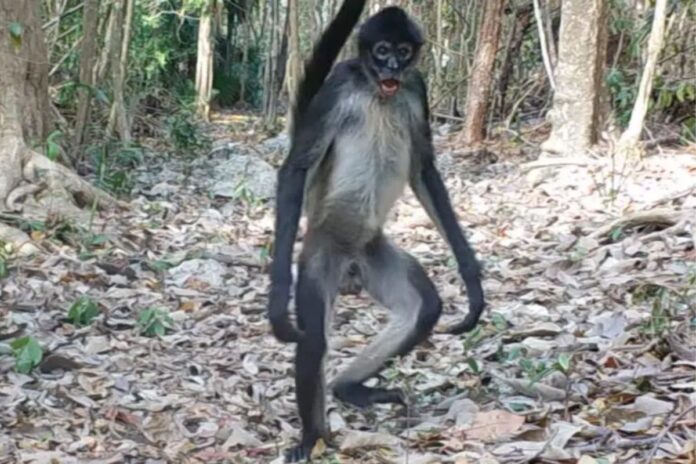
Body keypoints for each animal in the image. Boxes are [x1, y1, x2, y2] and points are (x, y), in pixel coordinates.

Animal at [267, 3, 485, 461]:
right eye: (381, 50)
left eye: (403, 51)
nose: (391, 67)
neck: (376, 91)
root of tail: (351, 258)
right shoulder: (339, 85)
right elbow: (296, 168)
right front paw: (277, 298)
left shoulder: (416, 87)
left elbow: (423, 168)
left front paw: (471, 276)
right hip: (322, 252)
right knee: (313, 342)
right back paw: (312, 436)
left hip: (373, 250)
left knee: (424, 308)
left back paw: (349, 388)